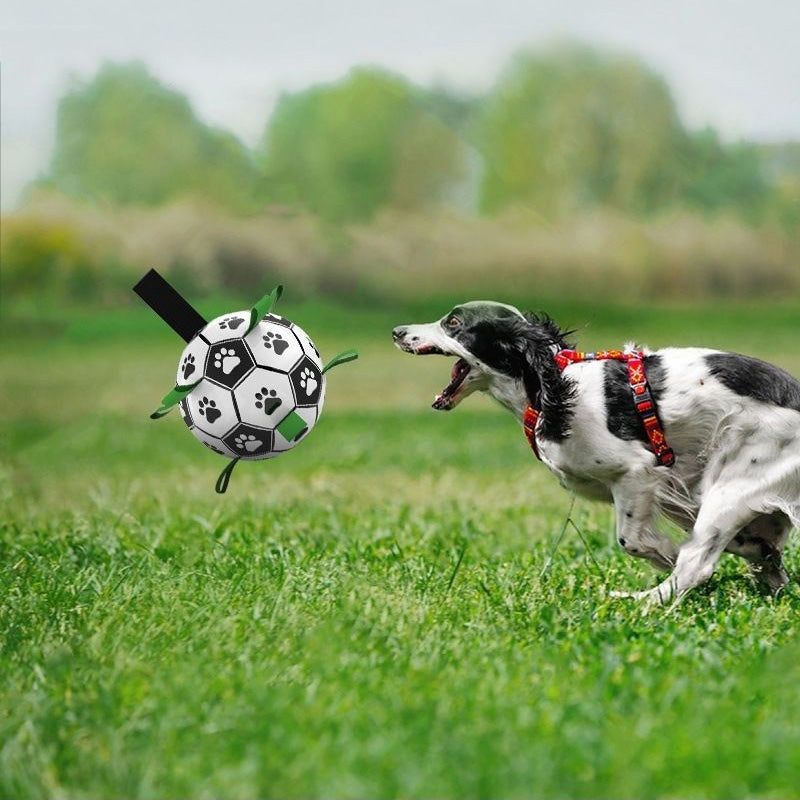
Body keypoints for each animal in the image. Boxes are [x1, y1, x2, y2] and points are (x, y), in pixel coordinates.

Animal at [396, 304, 800, 604]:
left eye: (453, 323)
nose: (397, 331)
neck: (552, 388)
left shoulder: (638, 472)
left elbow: (633, 541)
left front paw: (665, 553)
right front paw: (754, 551)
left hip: (731, 486)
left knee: (694, 567)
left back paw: (636, 600)